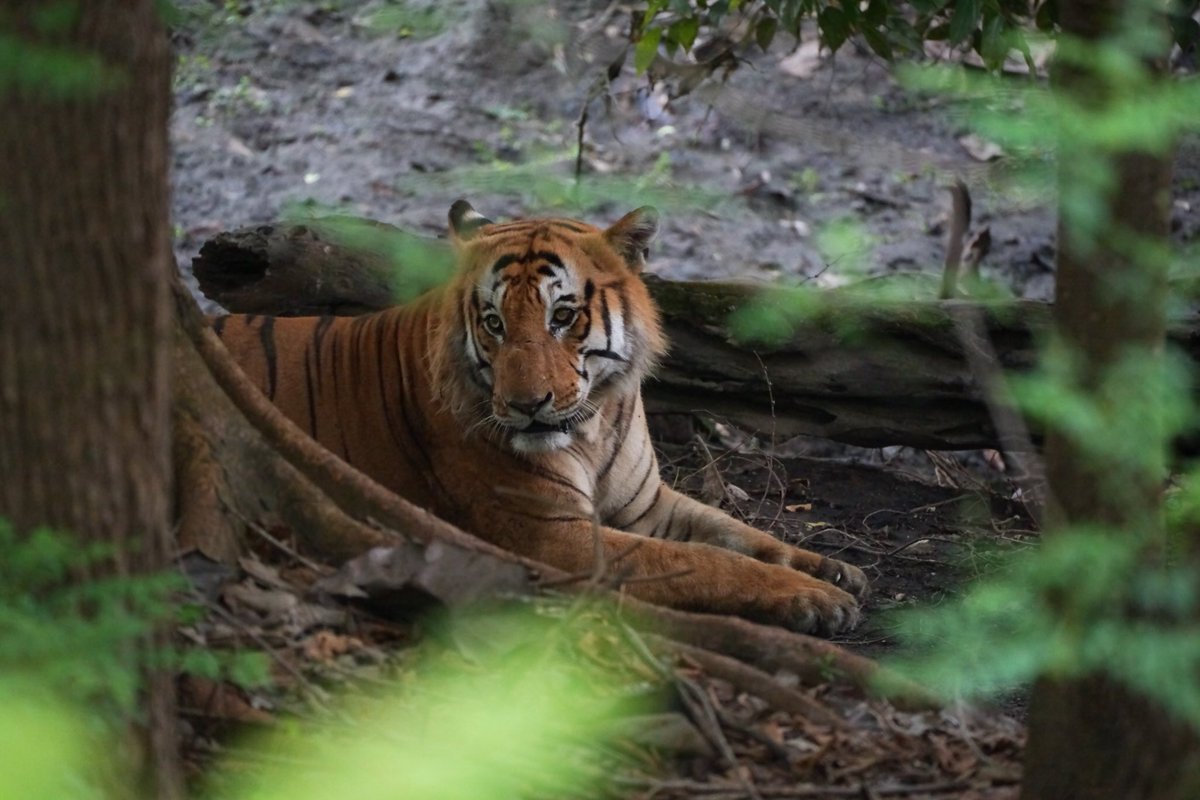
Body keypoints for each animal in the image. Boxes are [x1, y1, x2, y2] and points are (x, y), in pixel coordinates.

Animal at [212, 202, 868, 634]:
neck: (597, 421)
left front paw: (833, 571)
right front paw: (811, 597)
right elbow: (706, 561)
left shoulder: (648, 506)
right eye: (494, 323)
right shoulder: (551, 534)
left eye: (564, 316)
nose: (527, 405)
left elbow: (740, 533)